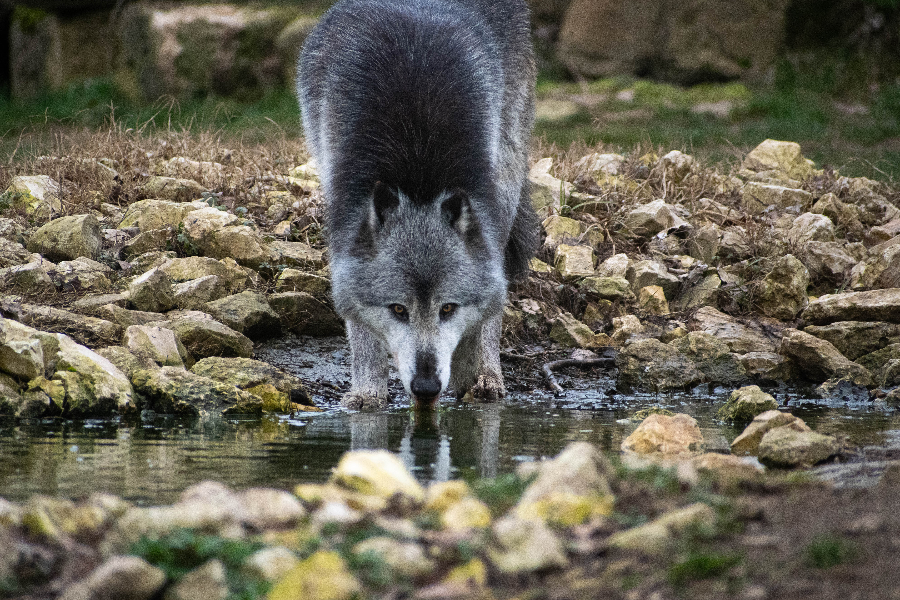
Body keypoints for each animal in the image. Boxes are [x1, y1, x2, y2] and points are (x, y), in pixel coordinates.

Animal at [298, 0, 536, 410]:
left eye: (448, 309)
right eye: (398, 309)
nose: (426, 387)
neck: (418, 166)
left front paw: (472, 378)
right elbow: (361, 331)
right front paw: (367, 394)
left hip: (506, 177)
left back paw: (488, 375)